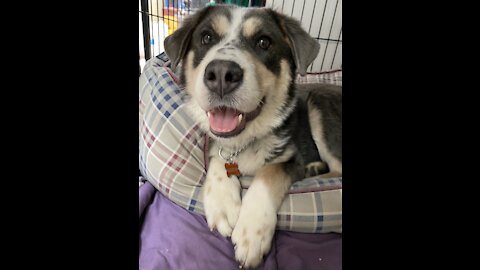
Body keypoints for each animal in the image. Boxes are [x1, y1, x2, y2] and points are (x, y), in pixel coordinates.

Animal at [164, 4, 342, 268]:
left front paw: (251, 234)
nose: (221, 73)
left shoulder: (292, 156)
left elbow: (269, 173)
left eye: (264, 42)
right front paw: (223, 204)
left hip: (320, 103)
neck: (243, 141)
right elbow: (218, 159)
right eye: (206, 38)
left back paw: (313, 171)